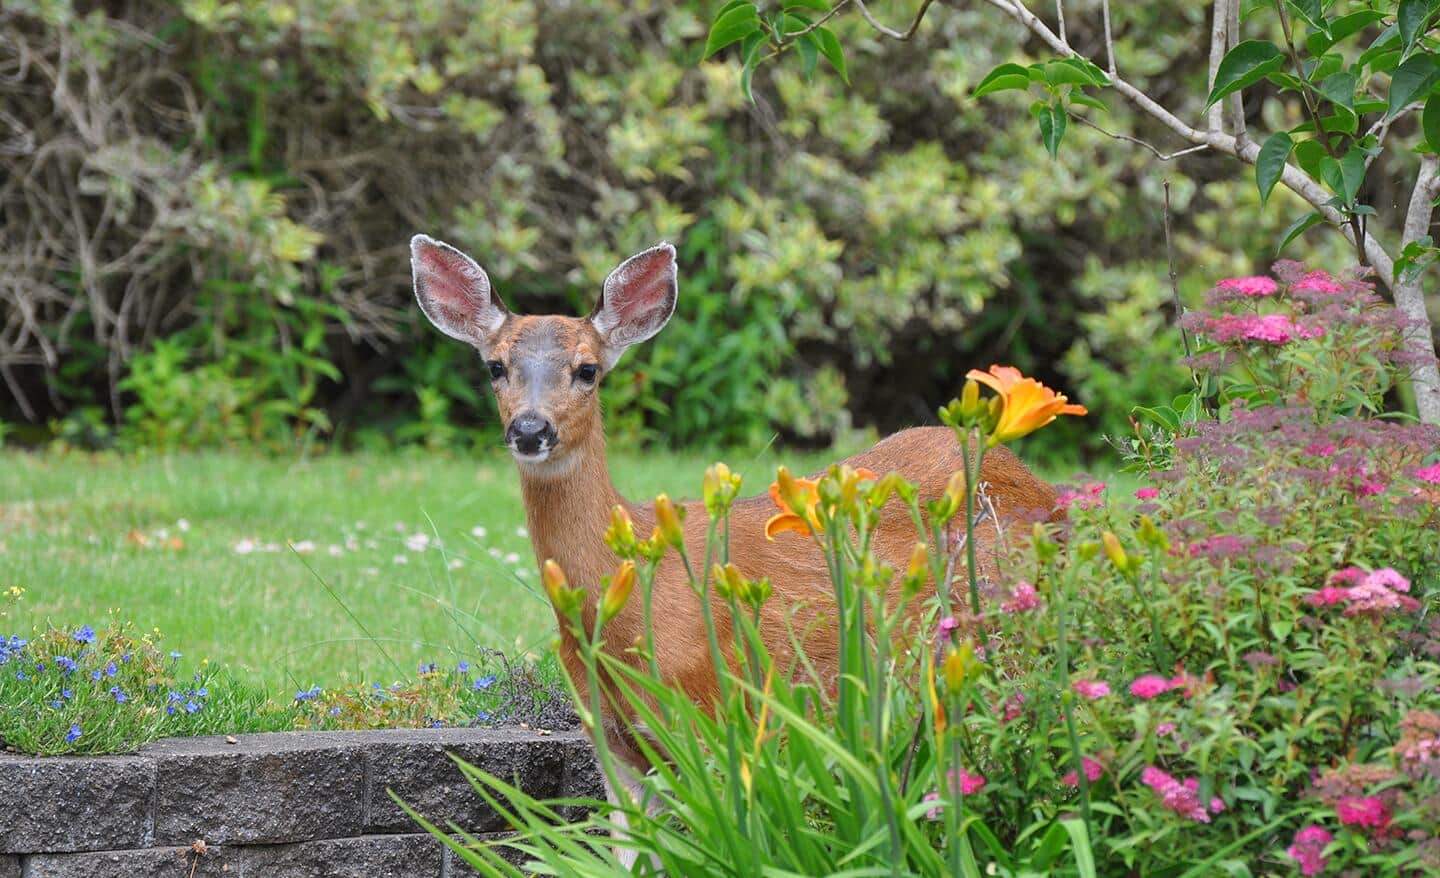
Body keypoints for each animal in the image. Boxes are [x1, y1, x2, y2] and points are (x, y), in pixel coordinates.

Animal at [410, 234, 1060, 853]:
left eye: (588, 369)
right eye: (495, 366)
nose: (530, 429)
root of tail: (1041, 485)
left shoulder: (710, 711)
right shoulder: (612, 741)